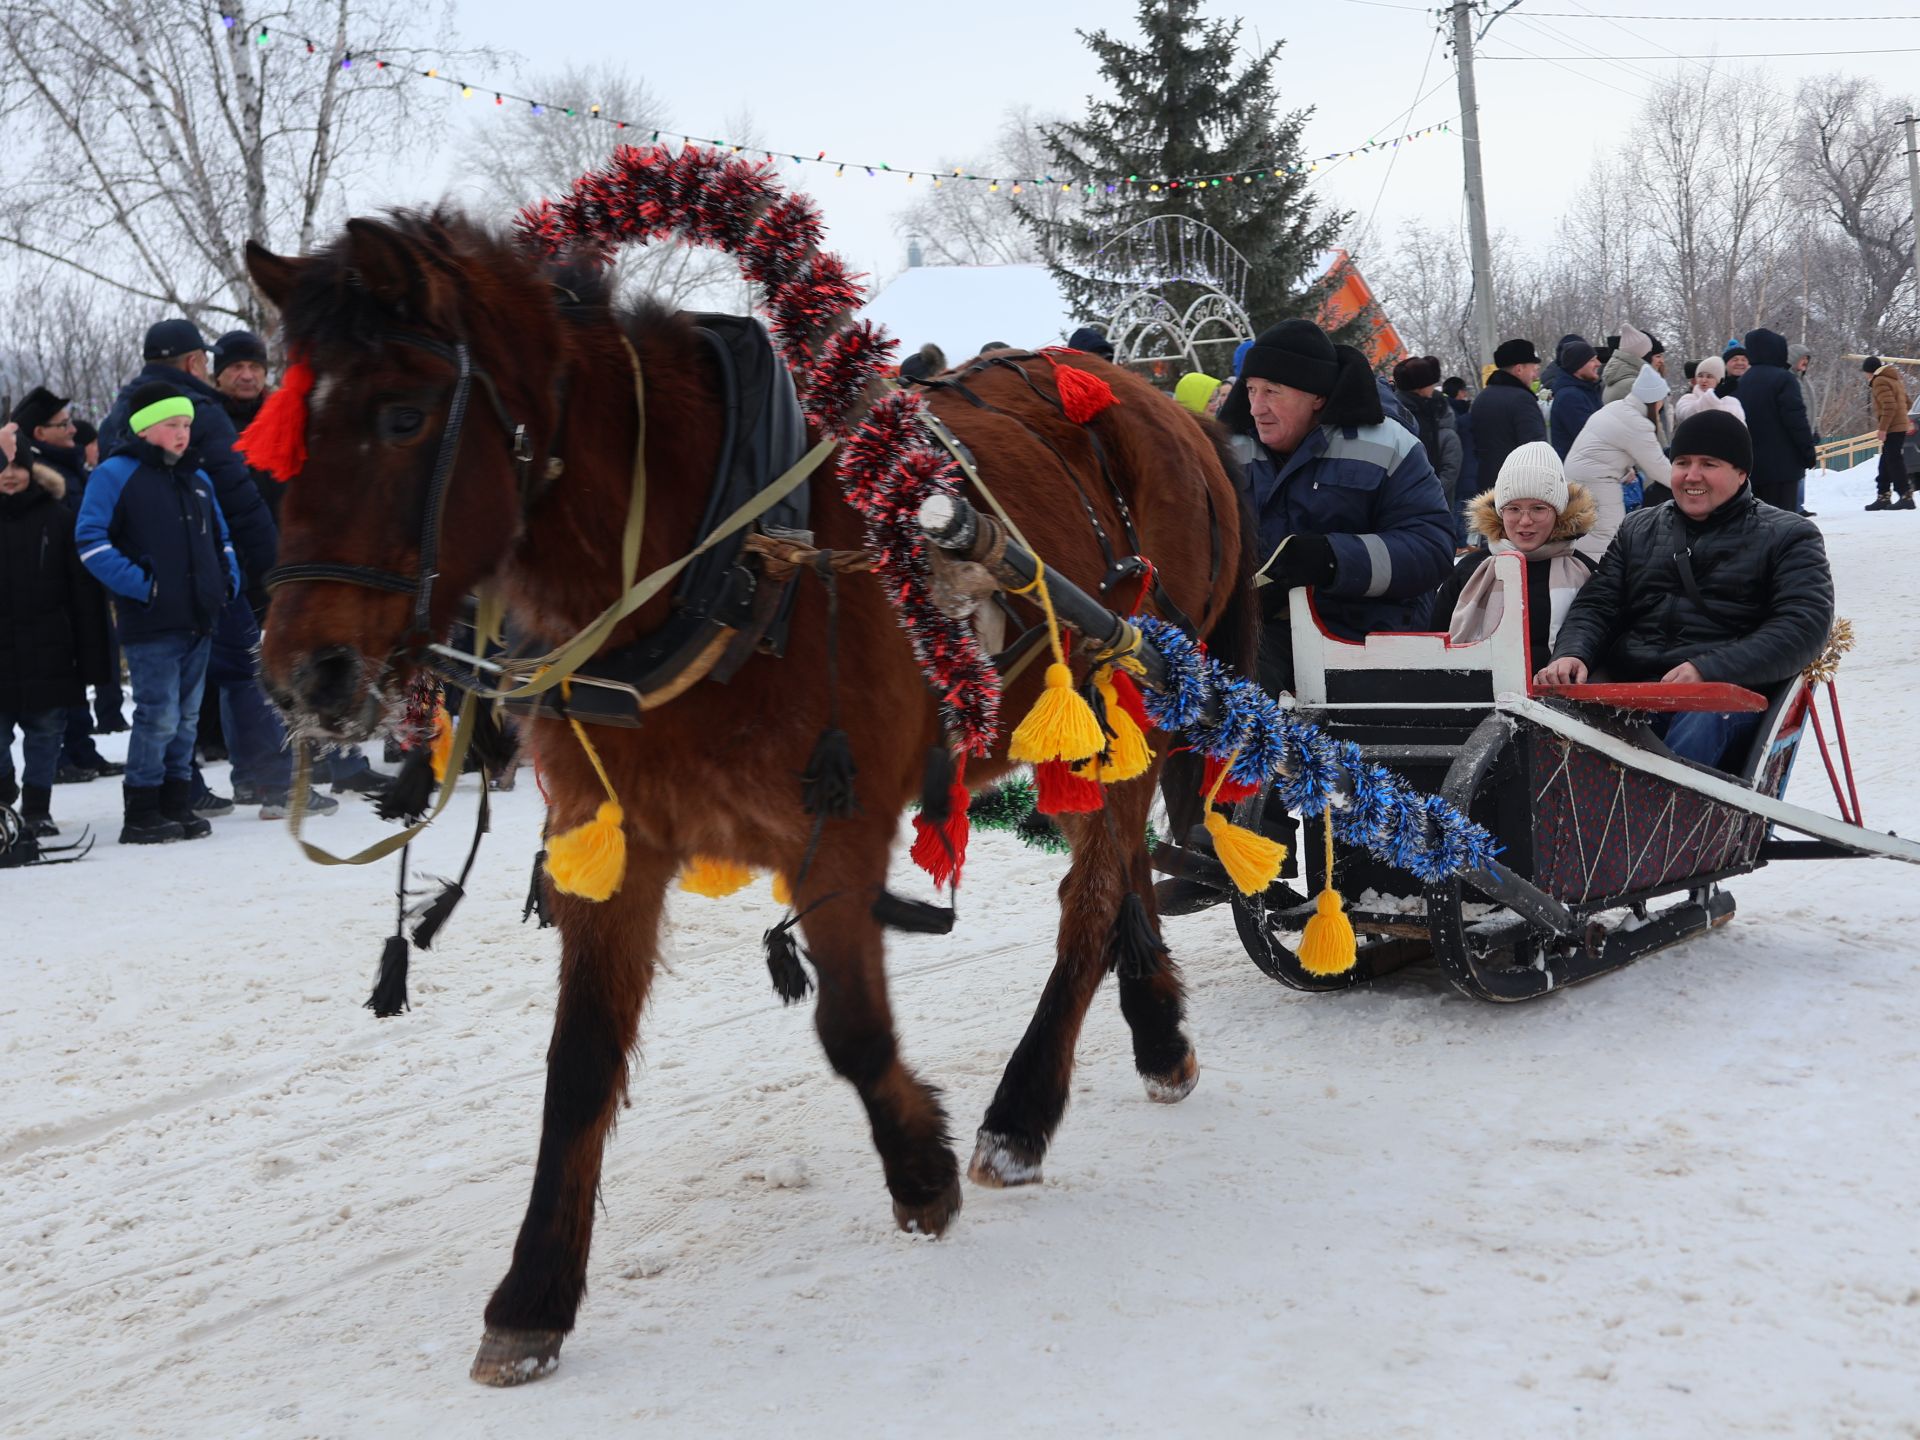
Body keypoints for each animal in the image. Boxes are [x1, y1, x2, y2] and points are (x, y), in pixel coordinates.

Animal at [247, 211, 1251, 1390]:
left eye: (403, 414)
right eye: (282, 440)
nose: (301, 677)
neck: (721, 555)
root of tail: (1153, 394)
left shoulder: (839, 829)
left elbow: (851, 1026)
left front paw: (921, 1168)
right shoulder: (611, 842)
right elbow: (578, 1065)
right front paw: (534, 1296)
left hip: (1130, 692)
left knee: (1088, 904)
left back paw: (1022, 1113)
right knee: (1123, 874)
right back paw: (1156, 1035)